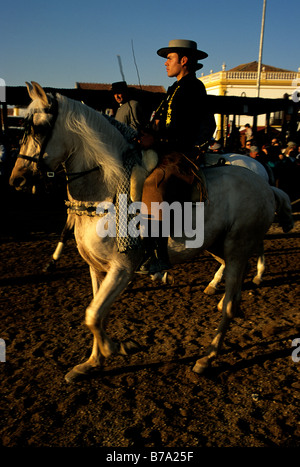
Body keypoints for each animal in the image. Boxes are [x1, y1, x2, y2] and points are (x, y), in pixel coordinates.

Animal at [8, 83, 292, 384]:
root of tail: (264, 183)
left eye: (39, 128)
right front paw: (92, 363)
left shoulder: (122, 268)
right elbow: (97, 314)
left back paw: (208, 357)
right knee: (232, 292)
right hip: (218, 245)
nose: (17, 179)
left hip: (238, 248)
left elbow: (93, 315)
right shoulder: (96, 269)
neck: (106, 191)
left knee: (230, 302)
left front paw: (119, 348)